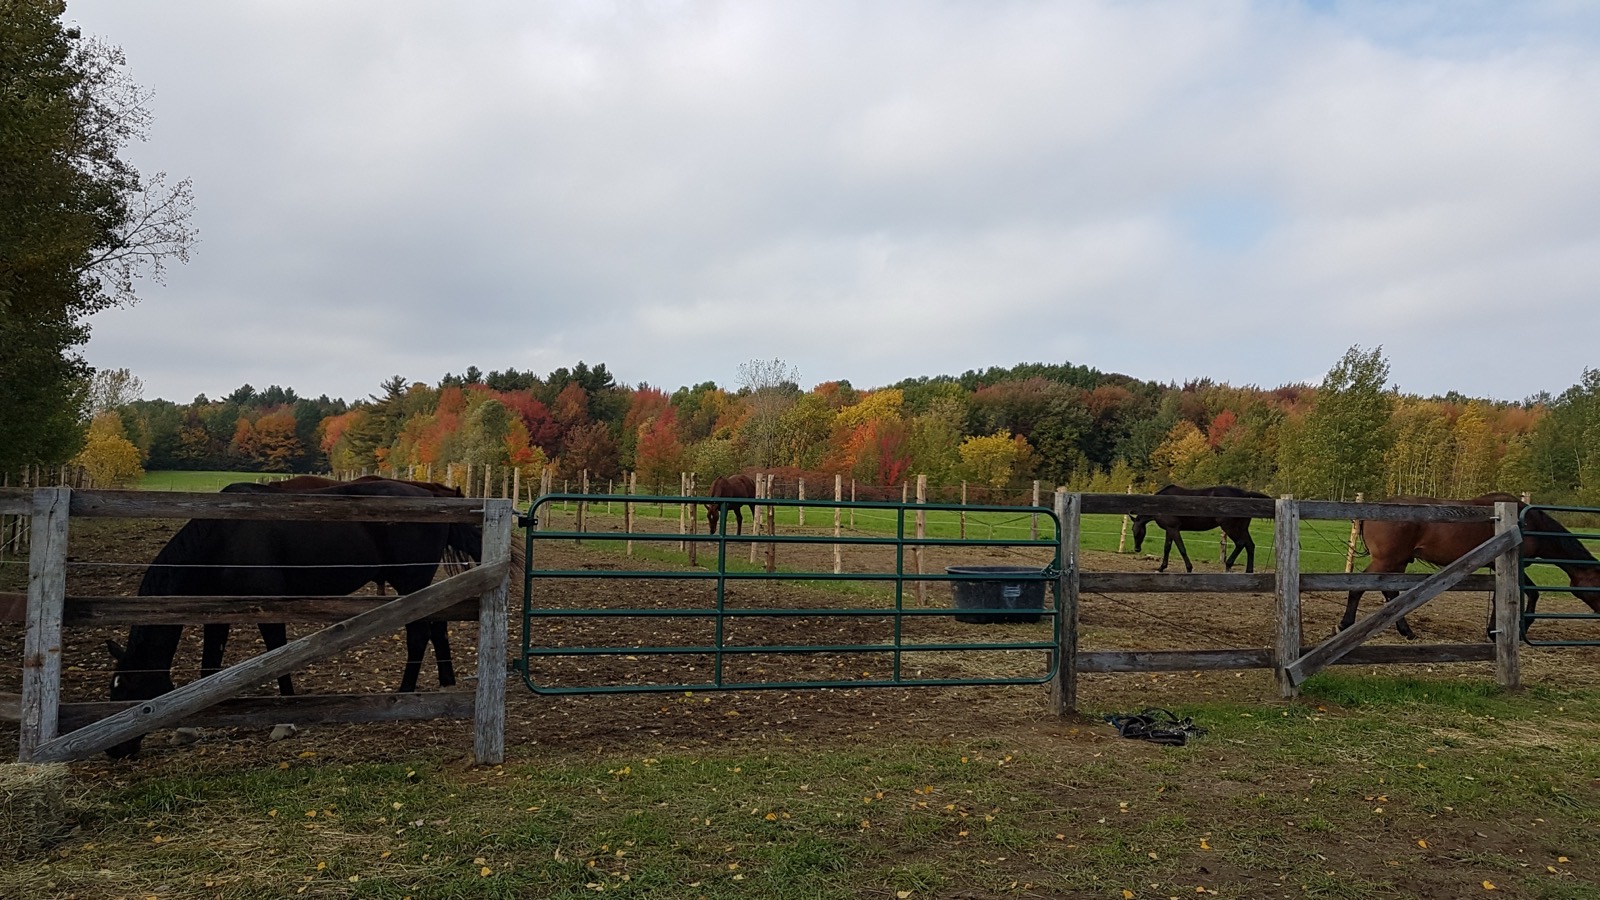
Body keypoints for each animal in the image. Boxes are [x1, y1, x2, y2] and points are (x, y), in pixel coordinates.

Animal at [104, 478, 482, 758]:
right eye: (114, 689)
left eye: (131, 691)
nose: (115, 751)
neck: (223, 536)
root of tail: (429, 495)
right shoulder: (217, 611)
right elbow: (209, 663)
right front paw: (188, 726)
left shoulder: (269, 606)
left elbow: (276, 656)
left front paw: (284, 722)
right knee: (434, 627)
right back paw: (443, 684)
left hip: (411, 582)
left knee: (418, 634)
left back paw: (402, 696)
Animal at [1129, 484, 1271, 574]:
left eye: (1136, 530)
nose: (1136, 549)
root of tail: (1246, 494)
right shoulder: (1169, 530)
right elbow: (1167, 548)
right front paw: (1161, 568)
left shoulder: (1173, 529)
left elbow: (1181, 549)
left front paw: (1189, 568)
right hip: (1242, 528)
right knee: (1250, 545)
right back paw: (1249, 571)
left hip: (1229, 527)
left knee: (1241, 543)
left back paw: (1228, 565)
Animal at [1343, 492, 1600, 640]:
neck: (1527, 522)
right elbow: (1530, 594)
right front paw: (1514, 630)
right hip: (1386, 561)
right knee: (1359, 588)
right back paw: (1345, 625)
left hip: (1398, 562)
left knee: (1391, 594)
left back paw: (1405, 631)